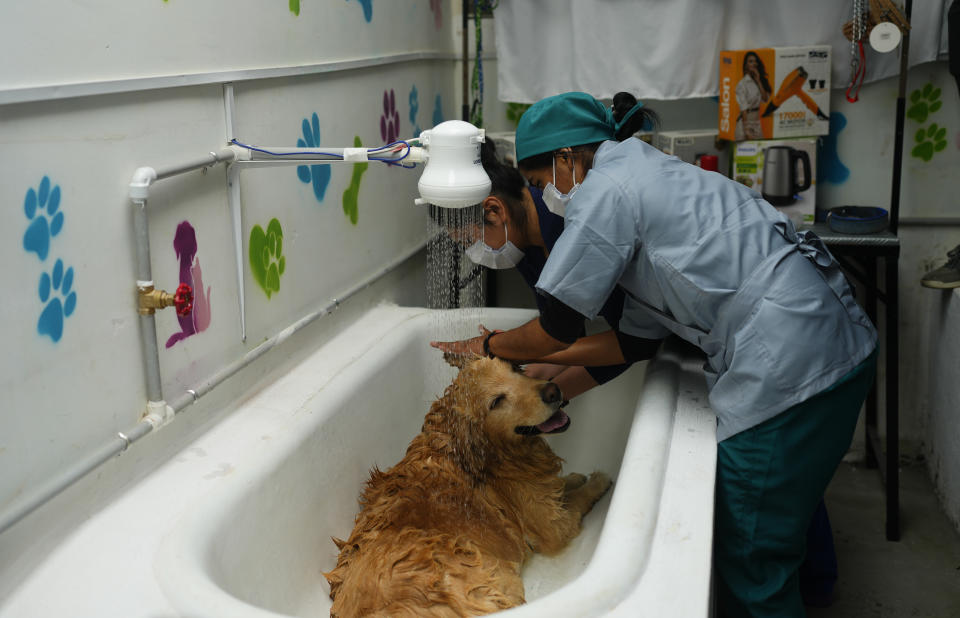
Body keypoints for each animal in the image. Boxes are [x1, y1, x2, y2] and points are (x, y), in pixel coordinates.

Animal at [322, 354, 608, 612]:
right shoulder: (553, 527)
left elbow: (561, 487)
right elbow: (578, 499)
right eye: (497, 401)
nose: (553, 390)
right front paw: (598, 480)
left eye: (515, 368)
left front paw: (572, 479)